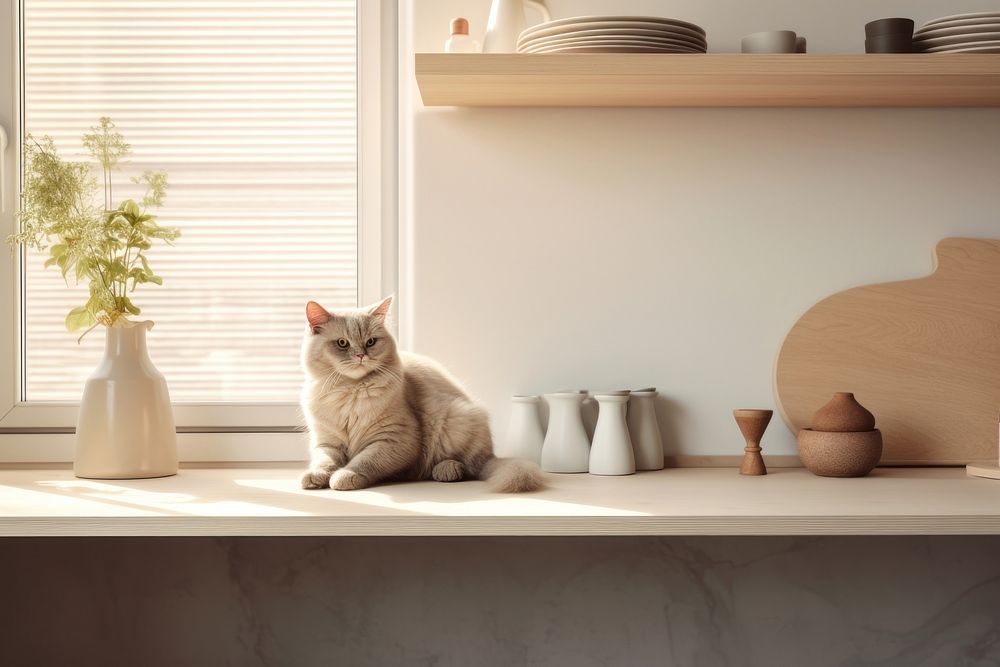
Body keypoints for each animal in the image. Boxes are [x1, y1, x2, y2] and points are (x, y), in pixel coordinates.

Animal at [300, 298, 544, 496]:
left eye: (371, 342)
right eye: (342, 343)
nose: (361, 355)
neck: (351, 389)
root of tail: (492, 455)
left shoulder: (394, 439)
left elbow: (363, 462)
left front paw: (344, 477)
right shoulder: (327, 442)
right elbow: (324, 462)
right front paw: (315, 477)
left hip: (455, 421)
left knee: (469, 466)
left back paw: (446, 470)